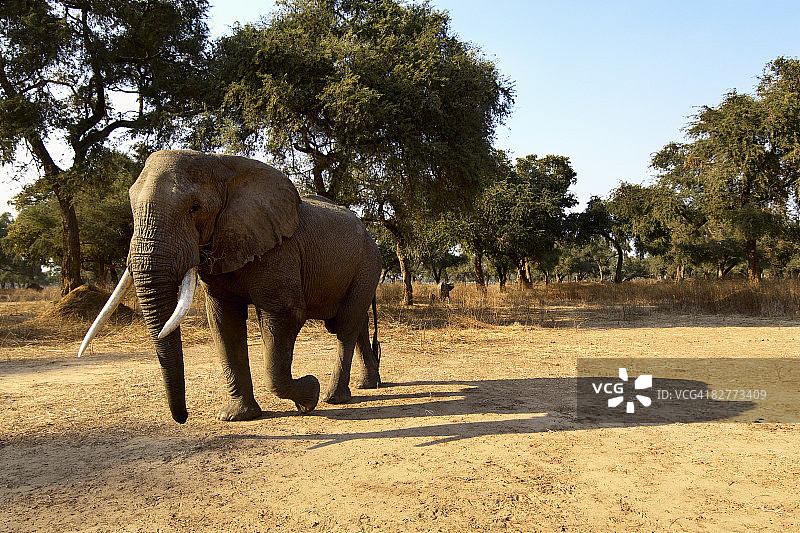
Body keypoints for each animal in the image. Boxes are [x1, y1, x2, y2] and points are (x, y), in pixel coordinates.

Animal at [79, 150, 382, 424]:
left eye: (194, 208)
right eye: (130, 208)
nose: (183, 418)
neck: (222, 166)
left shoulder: (279, 250)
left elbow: (285, 315)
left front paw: (309, 395)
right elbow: (224, 322)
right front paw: (237, 416)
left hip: (368, 263)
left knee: (345, 325)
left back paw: (334, 397)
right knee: (353, 323)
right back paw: (368, 385)